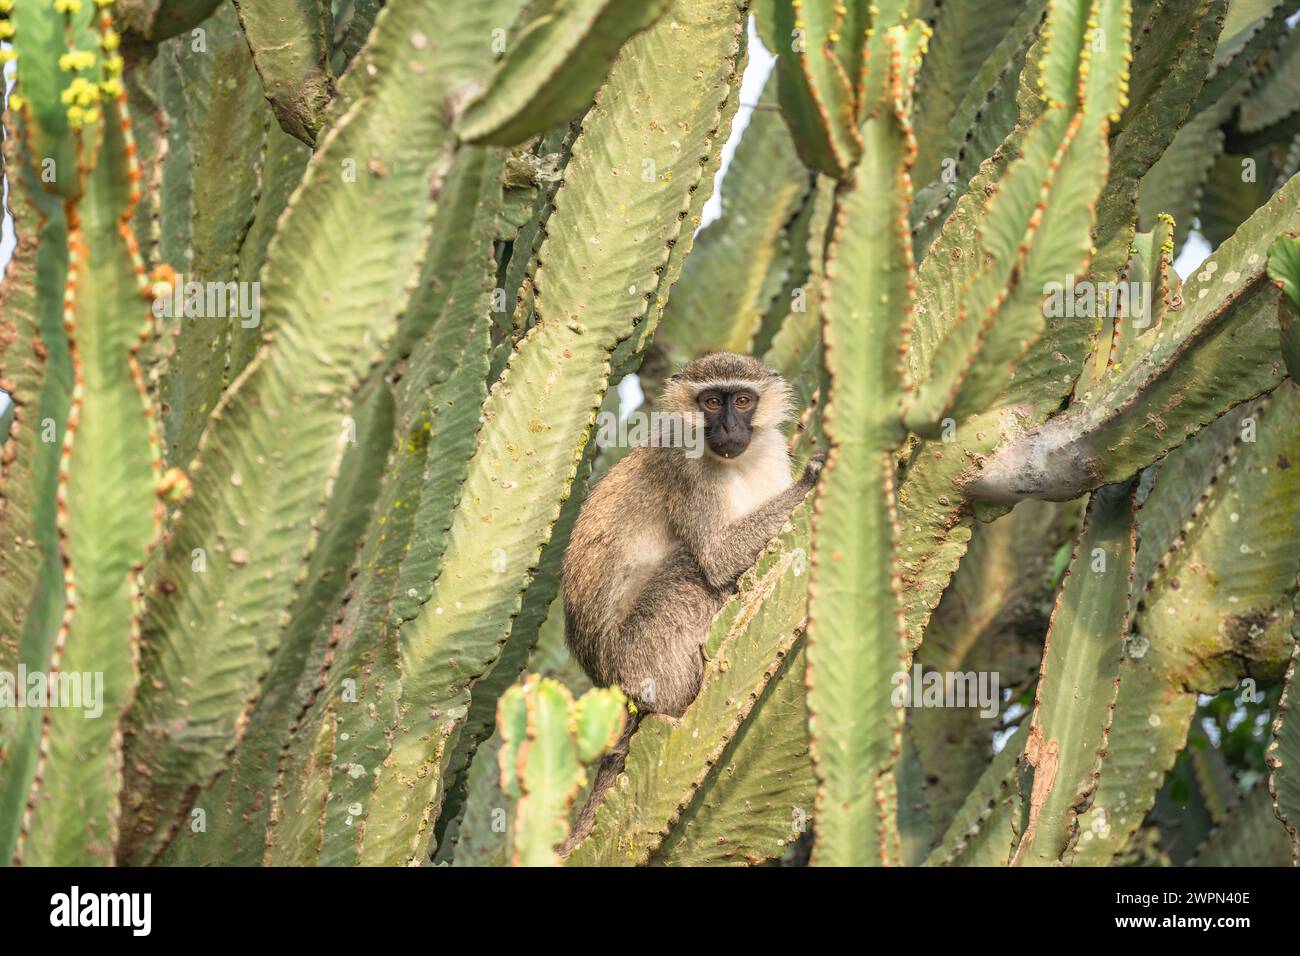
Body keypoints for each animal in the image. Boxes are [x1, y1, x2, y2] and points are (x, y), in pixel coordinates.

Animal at [558, 352, 822, 852]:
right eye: (712, 402)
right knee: (689, 570)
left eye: (743, 400)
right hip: (648, 657)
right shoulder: (688, 469)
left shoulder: (772, 451)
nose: (730, 426)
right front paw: (816, 478)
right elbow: (717, 559)